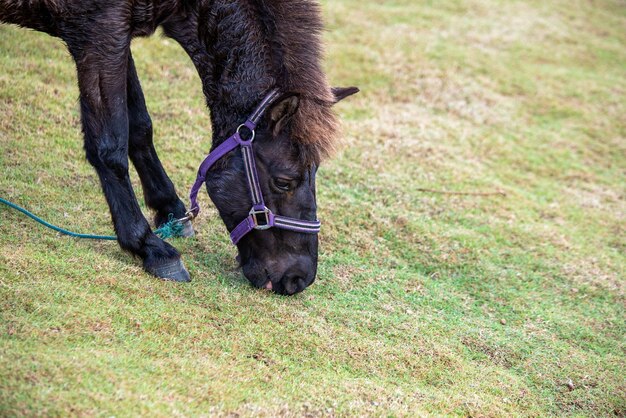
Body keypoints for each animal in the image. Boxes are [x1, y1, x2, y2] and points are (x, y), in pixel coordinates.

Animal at [0, 0, 356, 294]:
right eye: (284, 181)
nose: (299, 279)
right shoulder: (99, 33)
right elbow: (110, 146)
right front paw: (149, 246)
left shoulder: (118, 35)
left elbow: (140, 126)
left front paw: (169, 207)